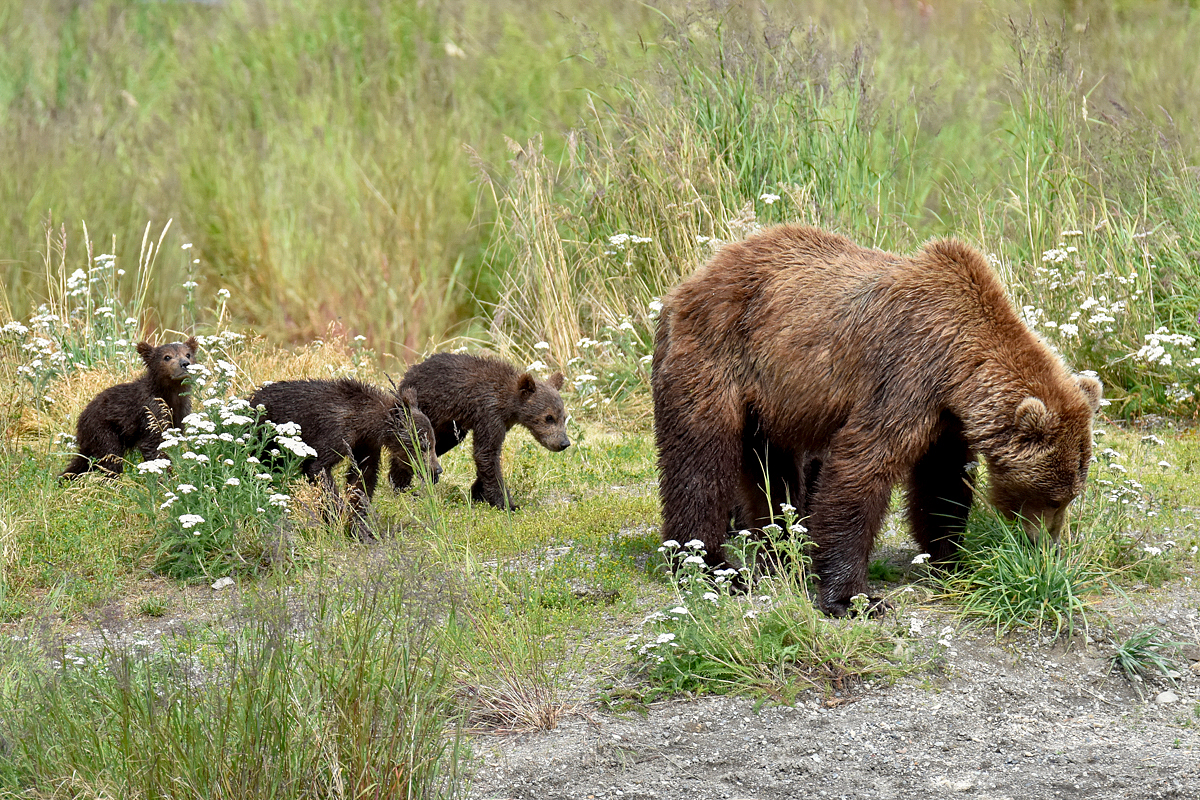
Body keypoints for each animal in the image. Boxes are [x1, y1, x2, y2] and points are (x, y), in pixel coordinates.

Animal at [652, 225, 1099, 618]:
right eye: (1053, 497)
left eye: (1070, 497)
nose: (1048, 547)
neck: (961, 366)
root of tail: (689, 283)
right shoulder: (908, 373)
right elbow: (863, 466)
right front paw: (854, 598)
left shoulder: (948, 419)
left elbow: (942, 484)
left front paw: (953, 560)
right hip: (716, 355)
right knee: (700, 460)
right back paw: (709, 564)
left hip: (772, 398)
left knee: (770, 469)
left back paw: (780, 551)